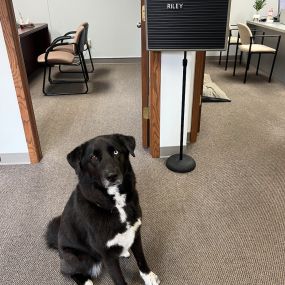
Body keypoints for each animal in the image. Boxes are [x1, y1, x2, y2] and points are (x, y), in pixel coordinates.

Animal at [45, 134, 159, 284]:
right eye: (93, 157)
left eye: (116, 152)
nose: (112, 176)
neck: (116, 205)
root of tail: (58, 246)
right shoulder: (107, 255)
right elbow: (119, 279)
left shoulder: (136, 233)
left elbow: (141, 259)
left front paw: (148, 276)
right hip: (79, 258)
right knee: (68, 271)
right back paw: (86, 281)